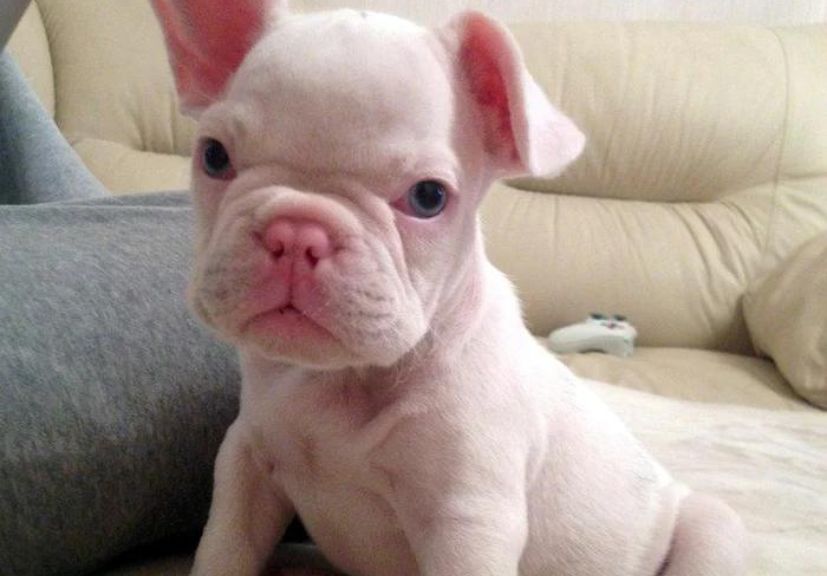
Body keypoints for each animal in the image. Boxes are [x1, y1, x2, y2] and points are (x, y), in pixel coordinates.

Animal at [150, 1, 752, 576]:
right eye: (214, 156)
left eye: (428, 198)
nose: (298, 232)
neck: (345, 379)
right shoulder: (247, 463)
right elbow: (224, 549)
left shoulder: (466, 520)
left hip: (712, 530)